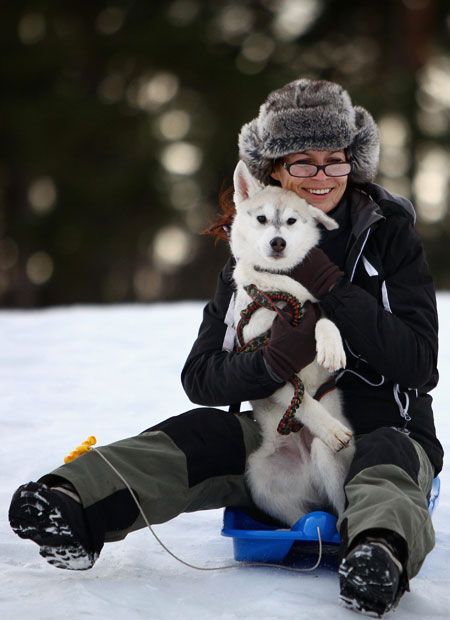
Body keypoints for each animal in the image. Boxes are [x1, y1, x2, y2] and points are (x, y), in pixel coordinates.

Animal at [232, 160, 356, 524]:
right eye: (261, 219)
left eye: (291, 221)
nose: (278, 243)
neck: (280, 287)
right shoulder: (266, 358)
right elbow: (298, 398)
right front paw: (330, 427)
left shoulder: (314, 307)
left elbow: (326, 321)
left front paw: (331, 349)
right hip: (260, 476)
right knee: (300, 515)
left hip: (326, 460)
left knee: (339, 507)